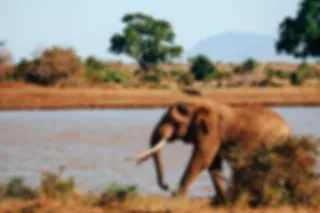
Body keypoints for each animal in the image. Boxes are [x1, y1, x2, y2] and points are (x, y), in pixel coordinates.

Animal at [126, 100, 292, 203]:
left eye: (173, 121)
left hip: (273, 142)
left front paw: (178, 199)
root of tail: (288, 129)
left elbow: (202, 158)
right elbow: (212, 163)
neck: (196, 104)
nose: (167, 187)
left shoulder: (211, 132)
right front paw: (223, 200)